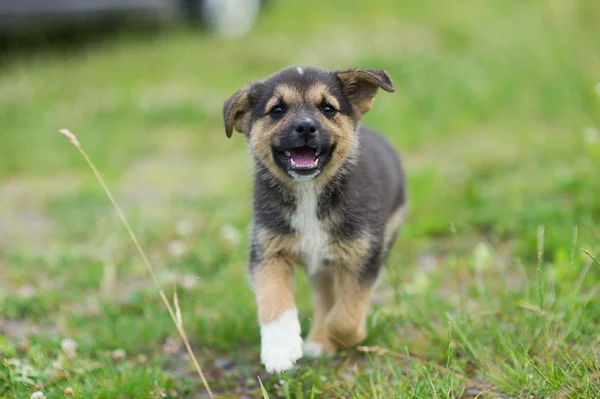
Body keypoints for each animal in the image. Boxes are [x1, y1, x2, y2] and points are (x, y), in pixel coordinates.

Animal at [223, 66, 406, 376]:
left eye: (328, 108)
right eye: (277, 110)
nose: (306, 127)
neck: (309, 191)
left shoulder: (362, 256)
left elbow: (345, 317)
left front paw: (347, 336)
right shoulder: (268, 251)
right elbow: (274, 300)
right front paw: (281, 350)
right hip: (319, 268)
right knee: (324, 299)